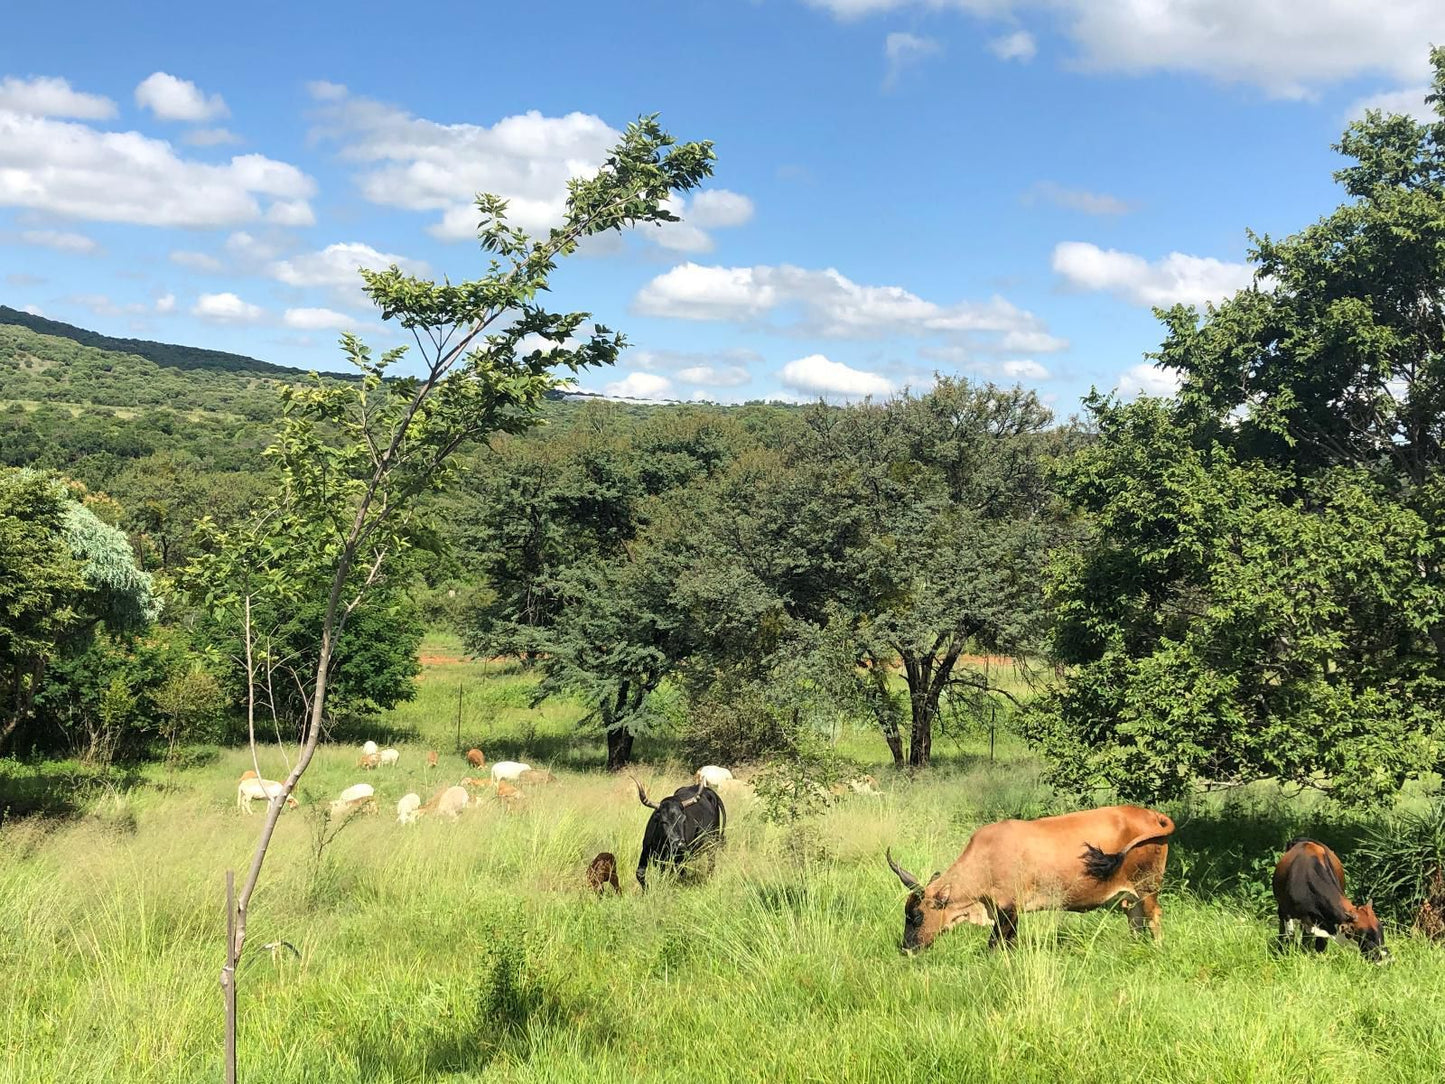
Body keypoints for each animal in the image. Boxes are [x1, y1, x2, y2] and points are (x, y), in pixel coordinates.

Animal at [878, 803, 1173, 953]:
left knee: (1154, 916)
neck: (986, 859)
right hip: (1132, 895)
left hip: (1147, 887)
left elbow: (995, 943)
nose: (906, 948)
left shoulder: (1006, 909)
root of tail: (1151, 815)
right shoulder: (1012, 911)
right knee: (1134, 919)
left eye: (916, 916)